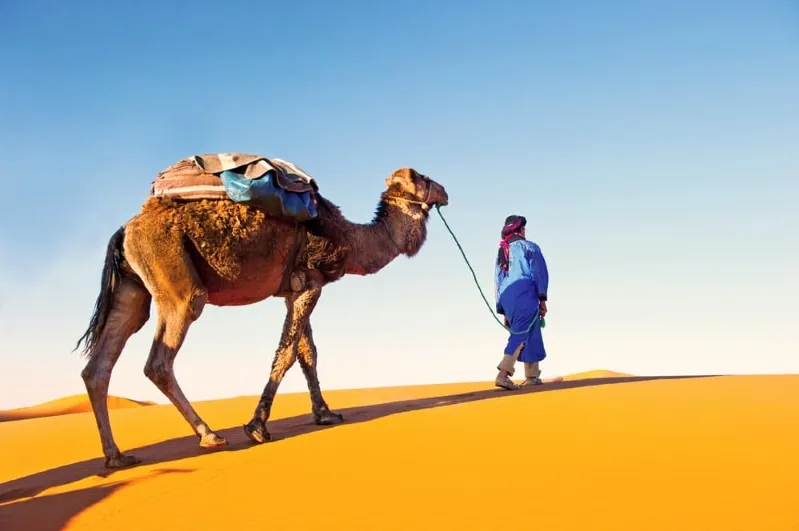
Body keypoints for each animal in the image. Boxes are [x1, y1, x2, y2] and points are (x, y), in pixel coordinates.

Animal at [75, 166, 449, 469]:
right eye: (422, 177)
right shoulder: (309, 283)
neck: (349, 241)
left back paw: (117, 456)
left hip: (133, 288)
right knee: (160, 358)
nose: (445, 191)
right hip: (176, 283)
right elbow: (287, 353)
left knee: (99, 366)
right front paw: (257, 426)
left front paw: (325, 414)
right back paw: (209, 435)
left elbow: (307, 353)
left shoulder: (294, 290)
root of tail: (123, 232)